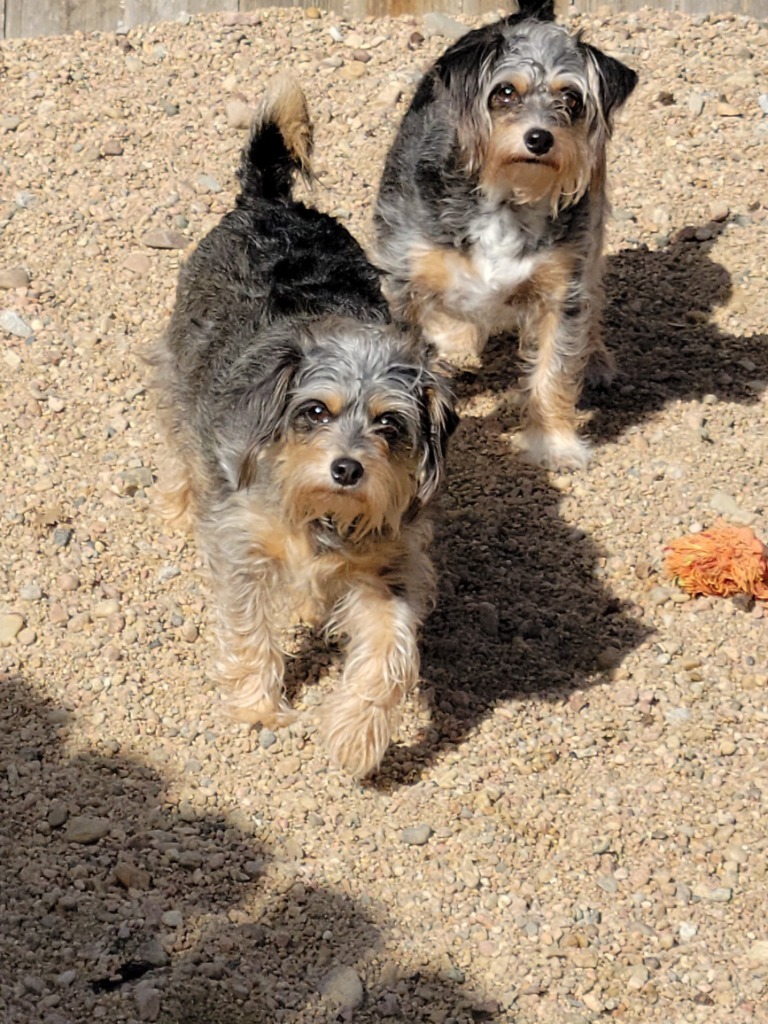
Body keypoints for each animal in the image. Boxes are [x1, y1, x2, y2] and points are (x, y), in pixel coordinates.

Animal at [153, 74, 460, 774]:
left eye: (389, 424)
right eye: (315, 410)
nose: (346, 469)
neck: (321, 517)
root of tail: (271, 201)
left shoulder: (389, 567)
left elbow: (390, 655)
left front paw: (357, 734)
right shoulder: (243, 546)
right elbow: (249, 630)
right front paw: (256, 706)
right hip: (178, 376)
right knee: (181, 444)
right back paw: (180, 502)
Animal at [374, 0, 638, 468]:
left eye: (571, 98)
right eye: (505, 93)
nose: (539, 138)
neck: (506, 199)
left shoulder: (561, 292)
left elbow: (554, 370)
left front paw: (555, 443)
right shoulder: (403, 281)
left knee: (594, 295)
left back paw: (596, 360)